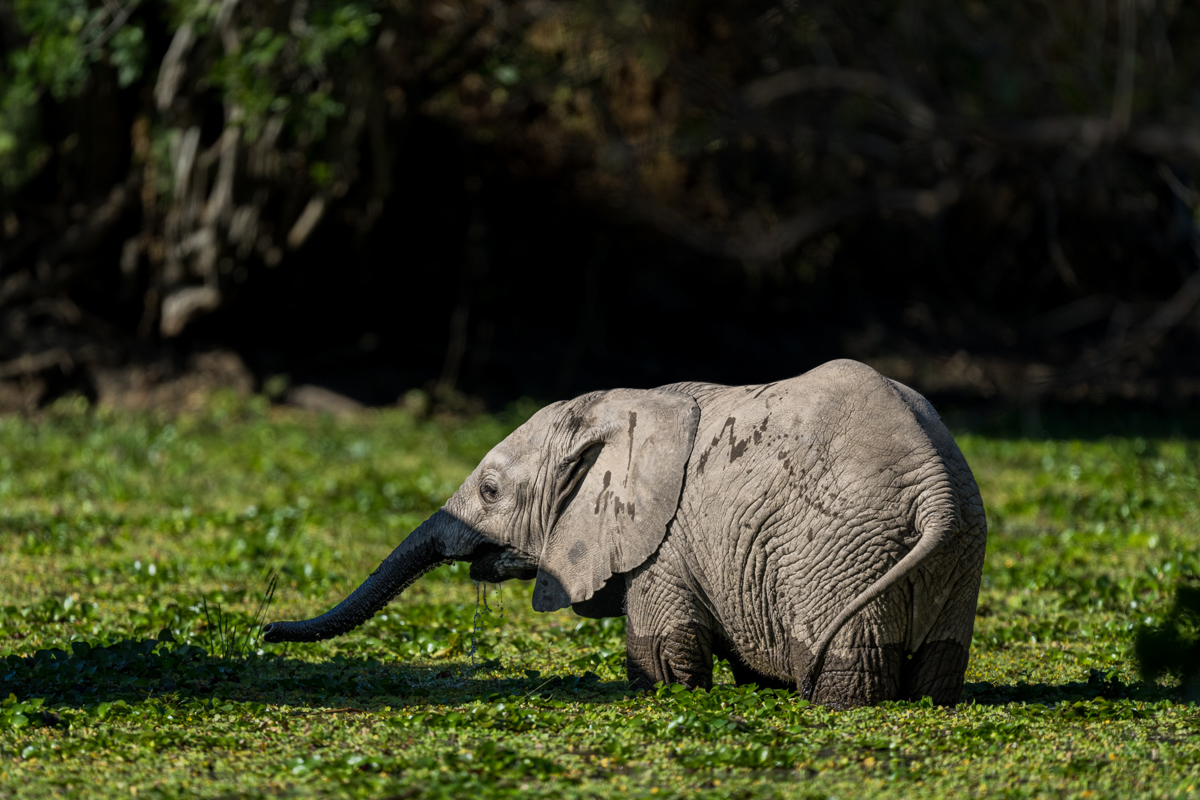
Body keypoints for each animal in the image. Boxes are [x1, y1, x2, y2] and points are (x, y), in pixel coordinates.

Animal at [262, 362, 984, 705]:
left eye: (491, 491)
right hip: (953, 553)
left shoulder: (662, 544)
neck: (621, 406)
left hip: (835, 551)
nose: (265, 631)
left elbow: (660, 659)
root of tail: (934, 488)